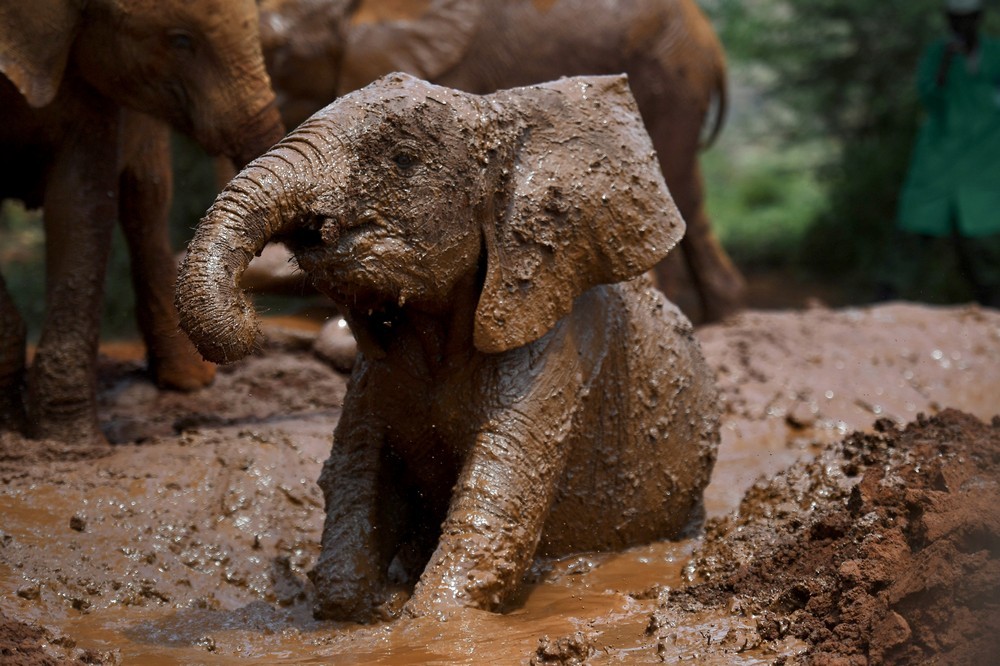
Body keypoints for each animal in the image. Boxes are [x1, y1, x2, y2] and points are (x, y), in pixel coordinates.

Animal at [0, 1, 286, 446]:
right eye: (180, 40)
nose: (246, 309)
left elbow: (81, 200)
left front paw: (69, 444)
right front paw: (29, 433)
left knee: (146, 201)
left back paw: (188, 382)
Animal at [174, 71, 720, 616]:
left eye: (403, 158)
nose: (250, 317)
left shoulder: (552, 337)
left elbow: (497, 505)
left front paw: (425, 620)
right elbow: (359, 474)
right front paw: (367, 611)